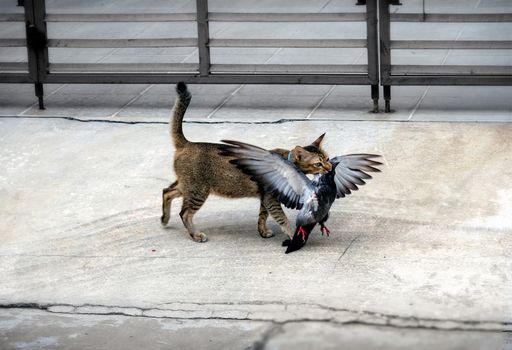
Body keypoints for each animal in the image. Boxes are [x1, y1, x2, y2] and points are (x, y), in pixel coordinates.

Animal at [160, 82, 330, 242]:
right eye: (318, 164)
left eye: (327, 159)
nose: (329, 168)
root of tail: (187, 143)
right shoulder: (271, 199)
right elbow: (282, 219)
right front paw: (291, 235)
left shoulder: (265, 199)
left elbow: (262, 216)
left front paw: (262, 232)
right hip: (197, 190)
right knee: (185, 213)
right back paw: (195, 234)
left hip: (187, 186)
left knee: (167, 191)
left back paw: (164, 219)